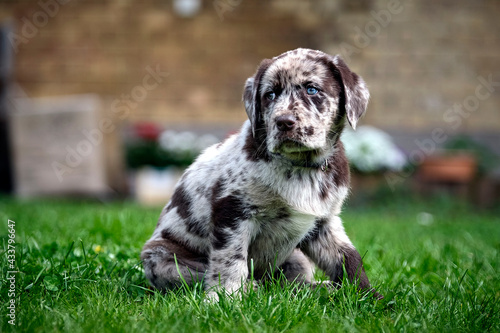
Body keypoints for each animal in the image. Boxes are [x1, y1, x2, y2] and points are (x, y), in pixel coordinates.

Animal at [143, 46, 380, 298]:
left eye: (312, 89)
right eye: (270, 95)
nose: (283, 122)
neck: (301, 167)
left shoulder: (324, 222)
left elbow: (348, 258)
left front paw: (370, 297)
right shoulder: (233, 211)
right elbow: (230, 260)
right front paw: (224, 297)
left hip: (296, 256)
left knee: (293, 283)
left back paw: (320, 288)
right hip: (162, 260)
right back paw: (251, 288)